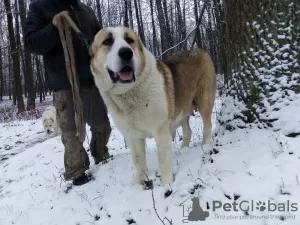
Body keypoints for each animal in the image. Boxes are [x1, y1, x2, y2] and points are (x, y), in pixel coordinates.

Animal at [89, 26, 216, 186]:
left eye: (129, 40)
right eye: (107, 41)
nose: (126, 52)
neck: (129, 92)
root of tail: (200, 50)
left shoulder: (161, 132)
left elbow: (163, 160)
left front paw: (166, 184)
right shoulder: (132, 136)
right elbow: (138, 161)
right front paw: (139, 182)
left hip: (203, 101)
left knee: (207, 126)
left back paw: (205, 147)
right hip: (182, 109)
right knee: (187, 131)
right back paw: (183, 150)